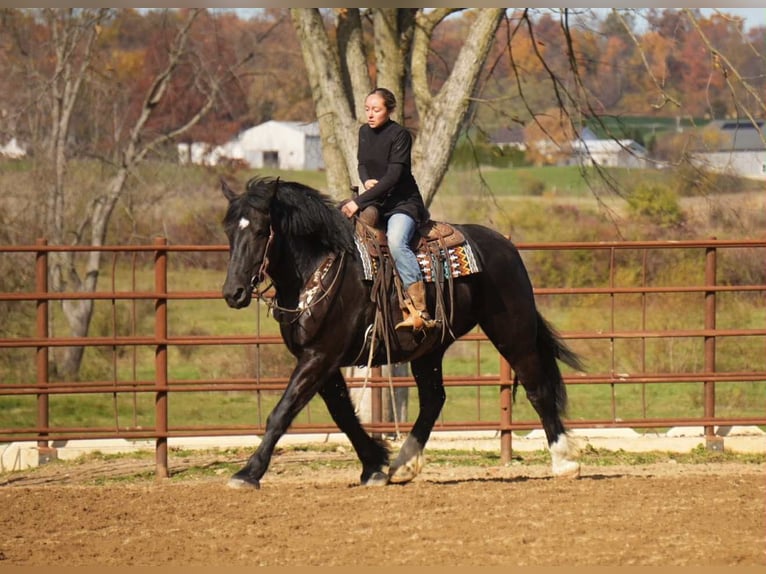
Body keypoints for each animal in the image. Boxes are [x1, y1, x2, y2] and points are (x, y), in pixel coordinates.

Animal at [220, 175, 584, 489]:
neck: (319, 268)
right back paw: (404, 464)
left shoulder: (320, 357)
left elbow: (282, 413)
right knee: (433, 399)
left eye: (259, 231)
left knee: (538, 389)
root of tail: (506, 248)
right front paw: (374, 465)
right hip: (429, 348)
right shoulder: (321, 360)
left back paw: (565, 461)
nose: (232, 293)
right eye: (229, 232)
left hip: (512, 331)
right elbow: (343, 414)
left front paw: (247, 473)